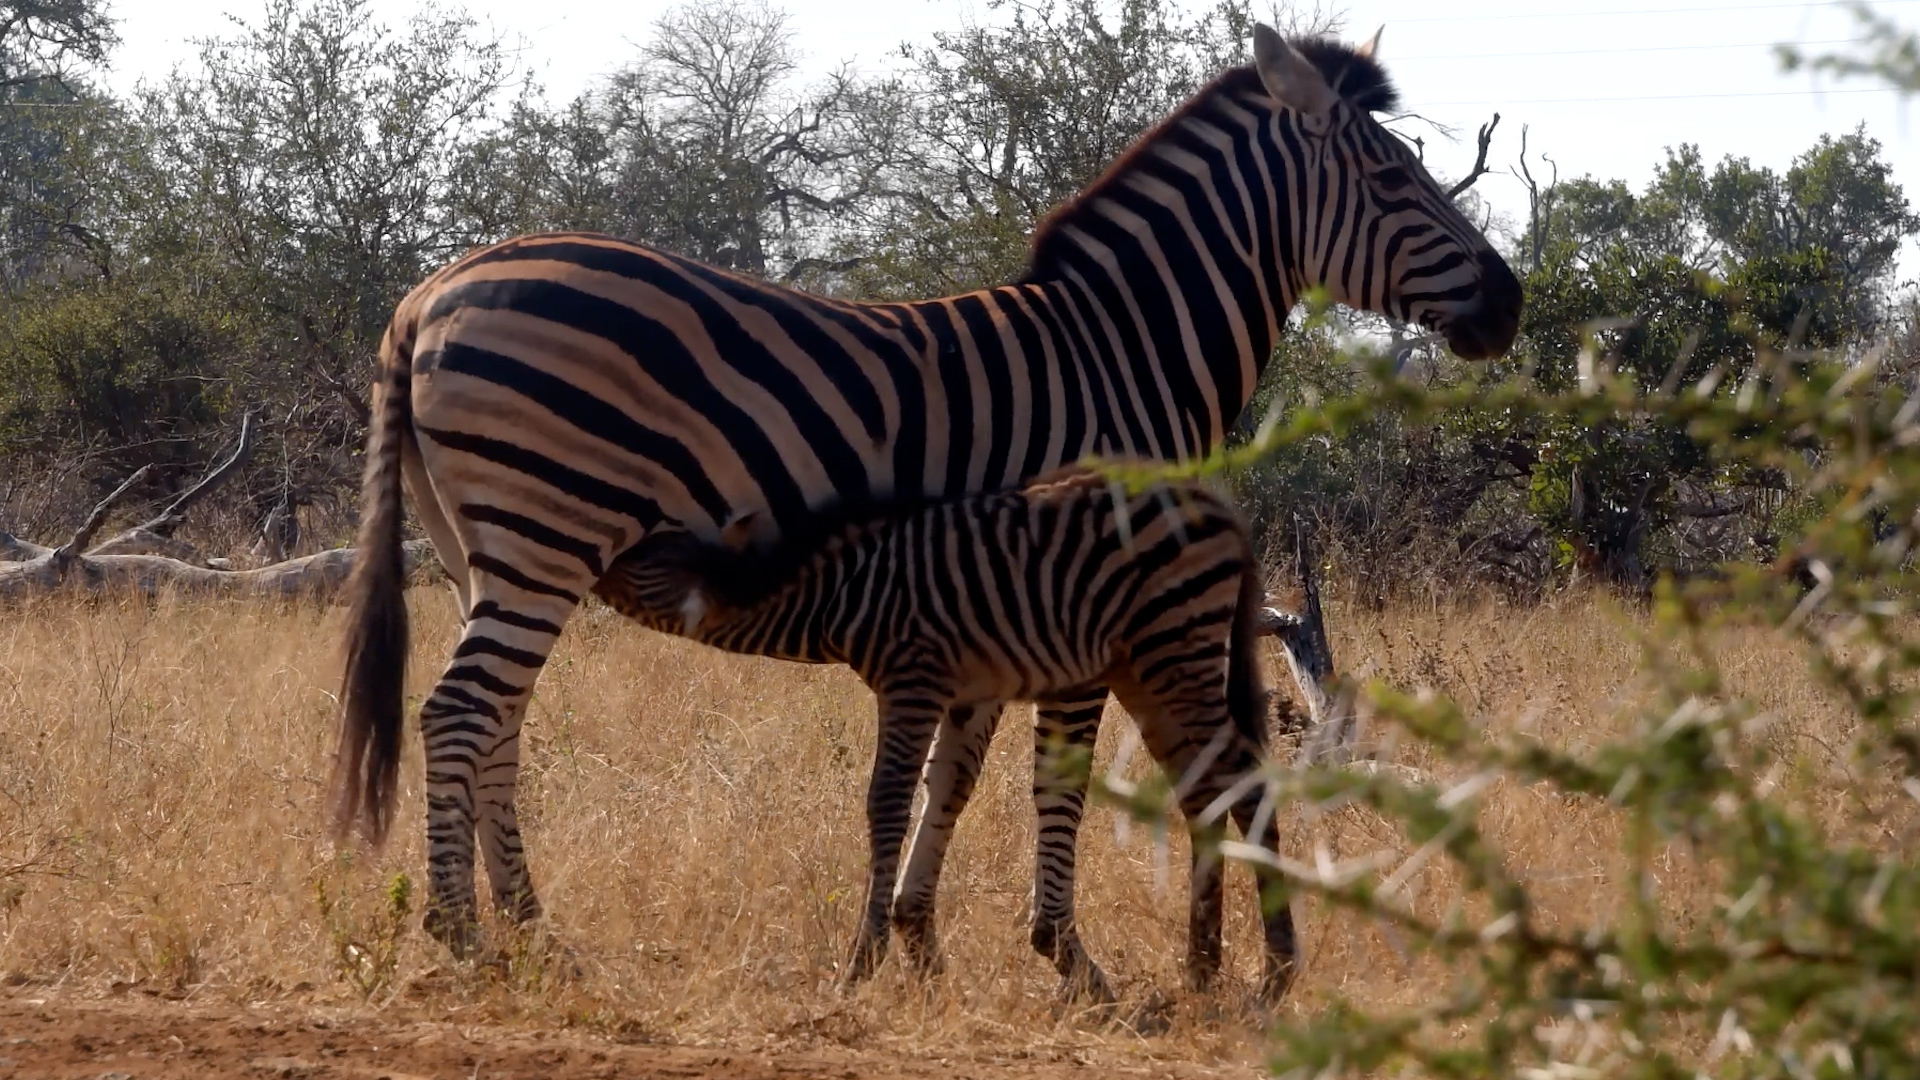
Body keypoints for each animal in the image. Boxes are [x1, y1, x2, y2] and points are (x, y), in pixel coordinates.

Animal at [593, 465, 1291, 999]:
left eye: (645, 557)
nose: (593, 558)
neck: (843, 593)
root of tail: (1214, 503)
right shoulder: (959, 690)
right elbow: (941, 789)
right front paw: (914, 958)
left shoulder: (913, 679)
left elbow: (887, 802)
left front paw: (861, 965)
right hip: (1146, 669)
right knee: (1207, 794)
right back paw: (1203, 969)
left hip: (1176, 650)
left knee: (1247, 785)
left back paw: (1277, 972)